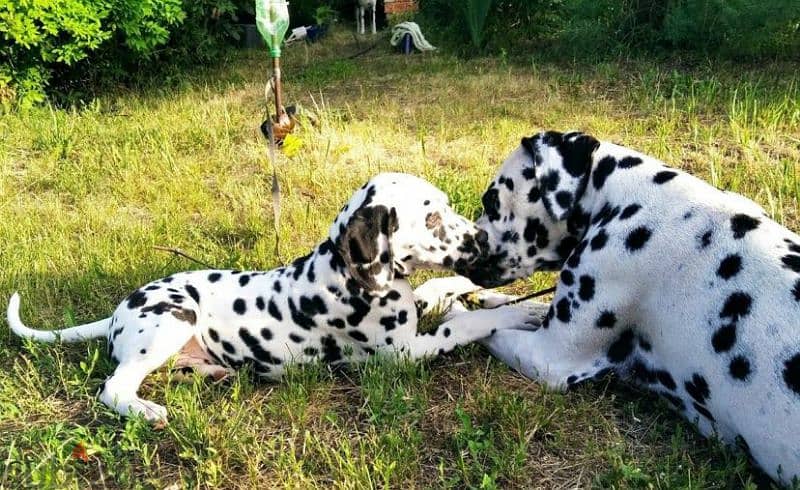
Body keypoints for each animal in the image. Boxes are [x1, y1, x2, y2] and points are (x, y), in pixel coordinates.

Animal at [6, 174, 536, 424]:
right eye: (431, 218)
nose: (483, 242)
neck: (347, 271)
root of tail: (119, 309)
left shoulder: (416, 309)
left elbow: (445, 290)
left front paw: (516, 299)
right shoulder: (405, 353)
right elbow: (464, 323)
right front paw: (517, 312)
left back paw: (214, 373)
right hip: (174, 316)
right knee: (115, 385)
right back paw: (147, 411)